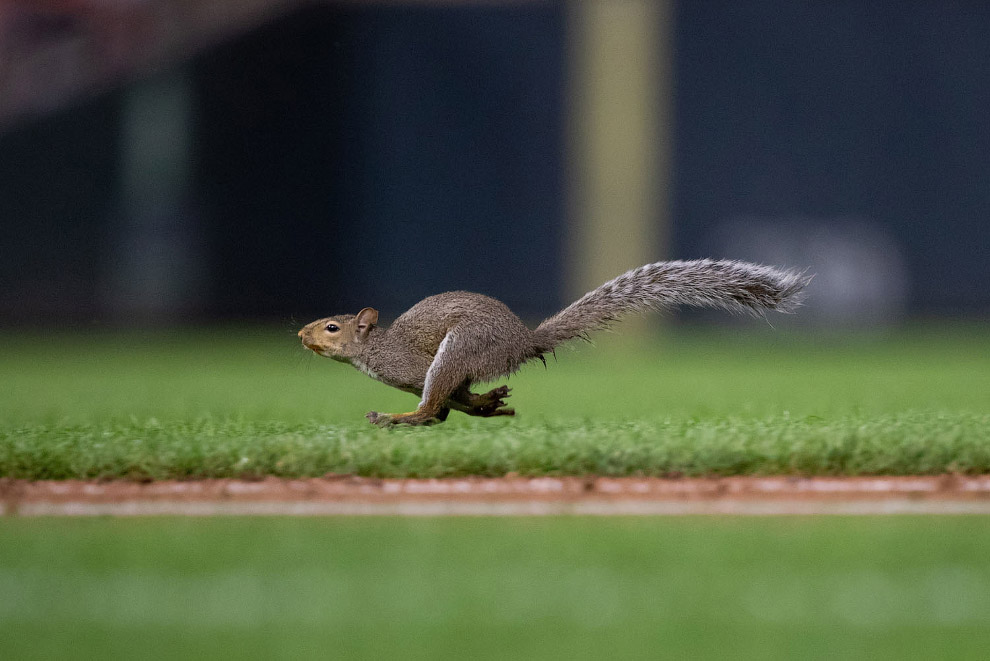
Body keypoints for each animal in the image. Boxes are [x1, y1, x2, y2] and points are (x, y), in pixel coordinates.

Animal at [298, 255, 808, 426]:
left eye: (332, 328)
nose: (301, 334)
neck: (373, 351)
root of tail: (522, 341)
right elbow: (456, 400)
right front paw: (486, 404)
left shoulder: (412, 368)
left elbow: (439, 398)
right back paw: (485, 405)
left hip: (461, 347)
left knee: (432, 406)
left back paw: (399, 417)